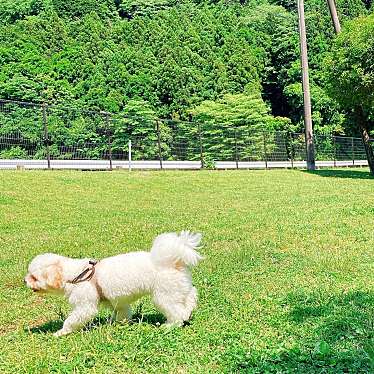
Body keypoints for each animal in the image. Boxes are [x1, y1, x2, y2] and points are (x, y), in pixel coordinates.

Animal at [24, 231, 203, 336]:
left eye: (34, 277)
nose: (24, 280)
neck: (77, 274)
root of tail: (174, 260)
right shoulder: (118, 303)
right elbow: (123, 313)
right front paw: (121, 324)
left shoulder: (85, 305)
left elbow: (73, 319)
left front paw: (61, 332)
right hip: (179, 288)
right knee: (191, 297)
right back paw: (188, 312)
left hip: (164, 295)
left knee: (177, 312)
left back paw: (170, 325)